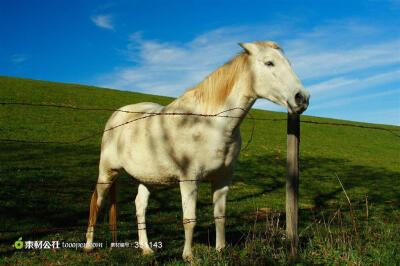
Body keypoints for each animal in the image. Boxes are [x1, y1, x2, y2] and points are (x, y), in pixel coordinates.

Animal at [83, 40, 310, 260]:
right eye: (269, 63)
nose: (302, 98)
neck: (211, 123)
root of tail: (118, 115)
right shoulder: (189, 179)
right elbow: (189, 219)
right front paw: (188, 256)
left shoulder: (222, 180)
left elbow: (220, 216)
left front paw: (220, 250)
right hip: (107, 172)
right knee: (96, 203)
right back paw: (88, 246)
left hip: (147, 178)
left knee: (140, 206)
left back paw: (146, 249)